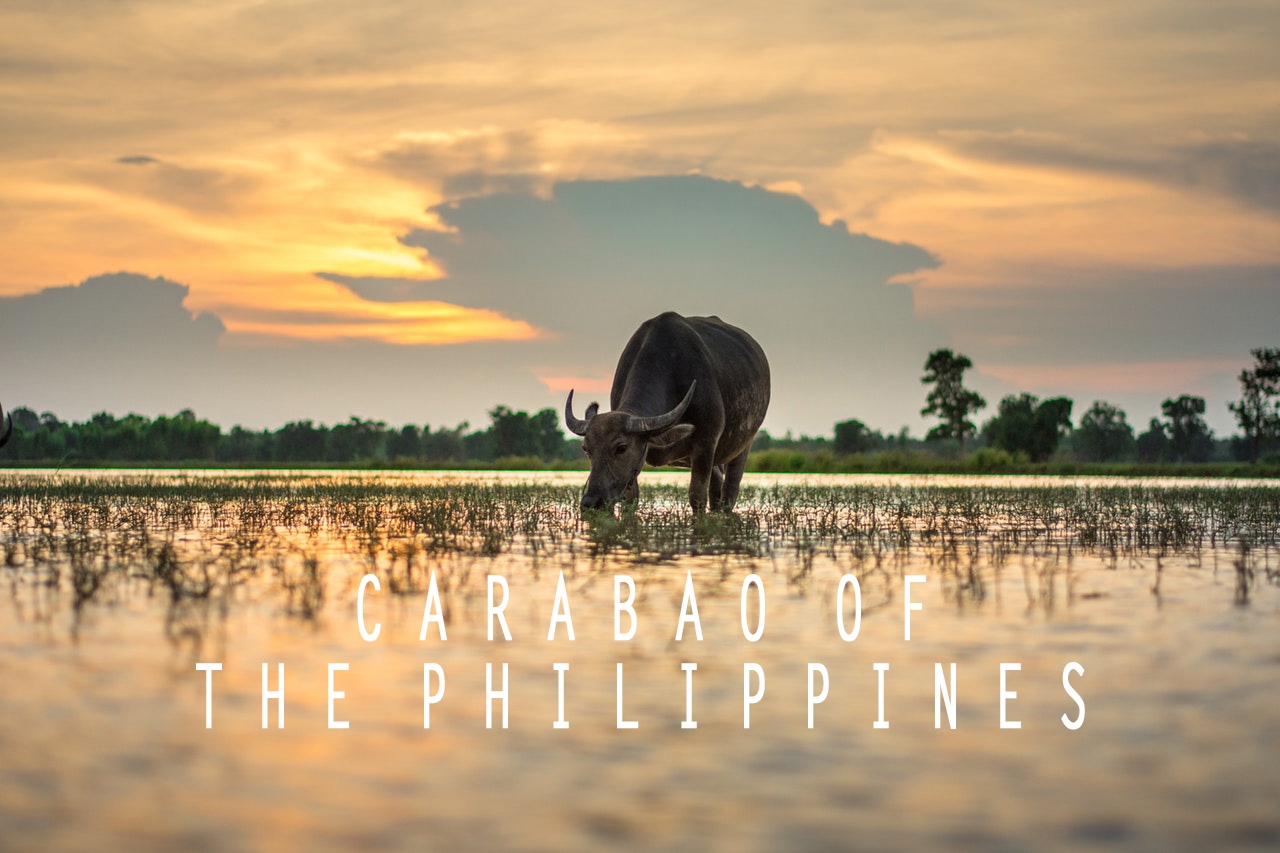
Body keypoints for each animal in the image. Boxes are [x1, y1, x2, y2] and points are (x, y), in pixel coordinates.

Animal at [563, 312, 762, 512]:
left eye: (621, 447)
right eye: (586, 449)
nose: (591, 502)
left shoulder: (706, 443)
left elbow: (697, 497)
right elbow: (631, 501)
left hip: (743, 445)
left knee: (730, 490)